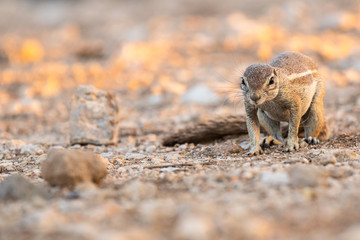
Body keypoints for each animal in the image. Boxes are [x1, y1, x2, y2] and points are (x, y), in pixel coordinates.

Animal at [163, 51, 330, 156]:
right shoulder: (249, 106)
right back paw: (272, 139)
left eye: (271, 81)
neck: (270, 99)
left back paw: (310, 138)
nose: (255, 97)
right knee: (276, 132)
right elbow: (252, 127)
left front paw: (292, 144)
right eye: (243, 81)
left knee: (313, 122)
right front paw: (254, 149)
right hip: (264, 116)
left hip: (316, 105)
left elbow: (294, 124)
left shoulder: (294, 102)